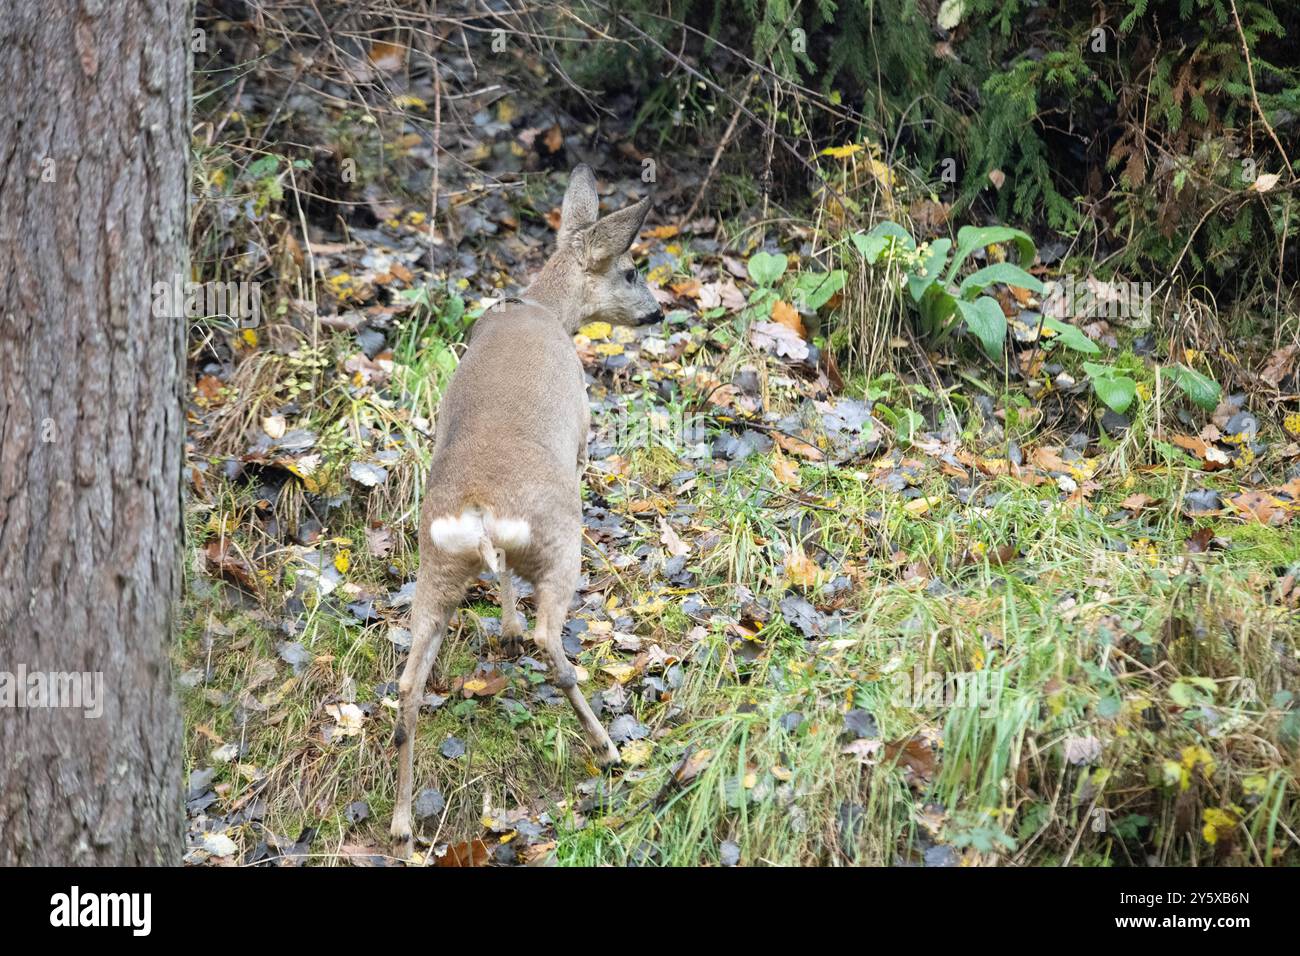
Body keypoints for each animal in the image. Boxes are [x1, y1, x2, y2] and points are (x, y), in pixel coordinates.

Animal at [390, 165, 662, 859]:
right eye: (631, 270)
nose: (658, 309)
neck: (545, 310)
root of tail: (478, 510)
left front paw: (504, 629)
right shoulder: (584, 437)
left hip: (435, 567)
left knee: (408, 686)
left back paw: (402, 824)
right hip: (560, 538)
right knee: (549, 638)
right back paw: (609, 747)